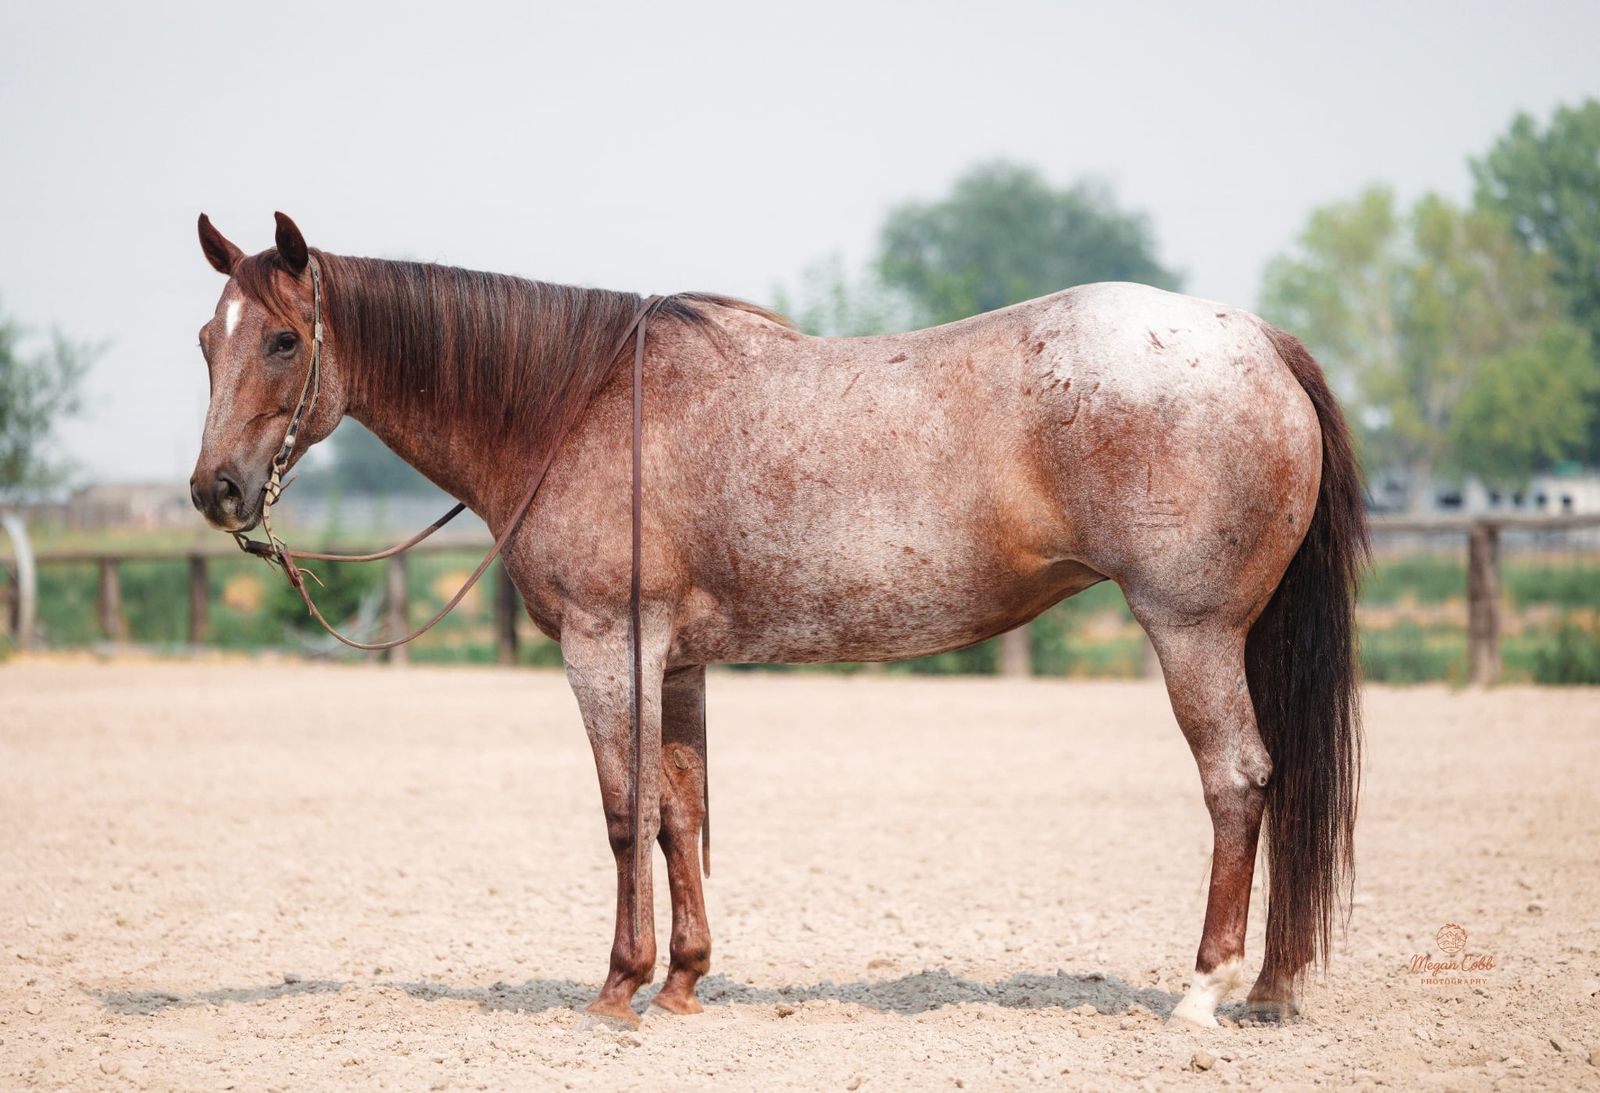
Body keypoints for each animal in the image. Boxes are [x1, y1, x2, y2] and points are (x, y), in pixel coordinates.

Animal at [189, 212, 1365, 1029]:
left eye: (285, 341)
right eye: (208, 337)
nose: (217, 490)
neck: (574, 407)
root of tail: (1253, 336)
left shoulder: (606, 647)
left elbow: (623, 814)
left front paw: (616, 986)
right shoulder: (673, 662)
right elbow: (680, 813)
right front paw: (683, 980)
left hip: (1192, 631)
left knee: (1238, 781)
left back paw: (1204, 988)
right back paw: (1269, 987)